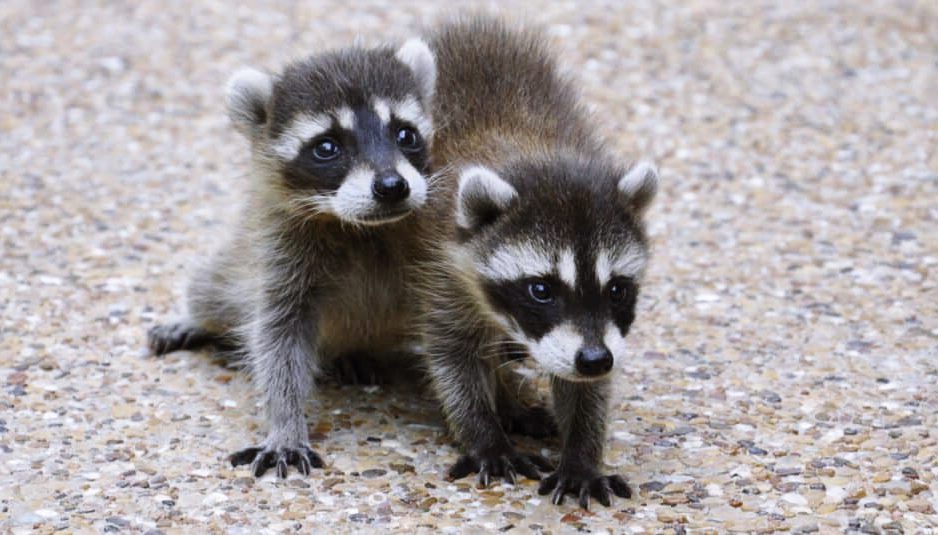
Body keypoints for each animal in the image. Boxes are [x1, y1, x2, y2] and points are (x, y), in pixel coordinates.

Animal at [147, 39, 438, 478]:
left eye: (406, 133)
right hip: (237, 261)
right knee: (210, 289)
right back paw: (195, 316)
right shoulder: (279, 247)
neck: (359, 226)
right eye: (327, 147)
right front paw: (284, 423)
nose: (392, 186)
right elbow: (278, 337)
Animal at [421, 18, 658, 509]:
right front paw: (484, 433)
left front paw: (582, 453)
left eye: (617, 289)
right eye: (542, 290)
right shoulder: (446, 267)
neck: (538, 154)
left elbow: (584, 387)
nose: (595, 359)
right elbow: (452, 354)